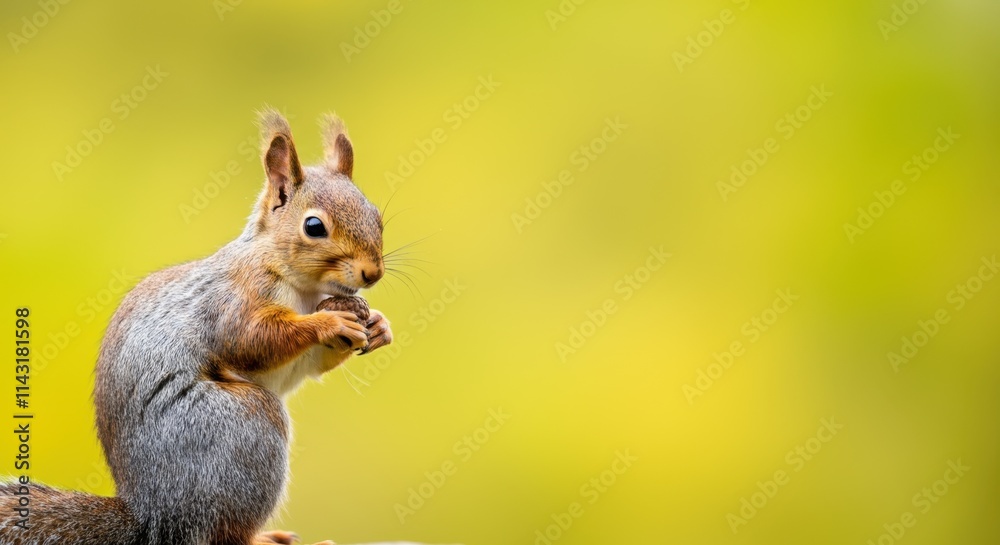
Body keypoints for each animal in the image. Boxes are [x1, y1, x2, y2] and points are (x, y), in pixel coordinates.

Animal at [0, 109, 394, 545]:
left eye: (376, 216)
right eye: (313, 227)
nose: (373, 273)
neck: (303, 287)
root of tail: (152, 515)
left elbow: (304, 364)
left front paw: (379, 326)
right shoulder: (234, 300)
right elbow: (253, 340)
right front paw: (330, 320)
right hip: (240, 427)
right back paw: (259, 538)